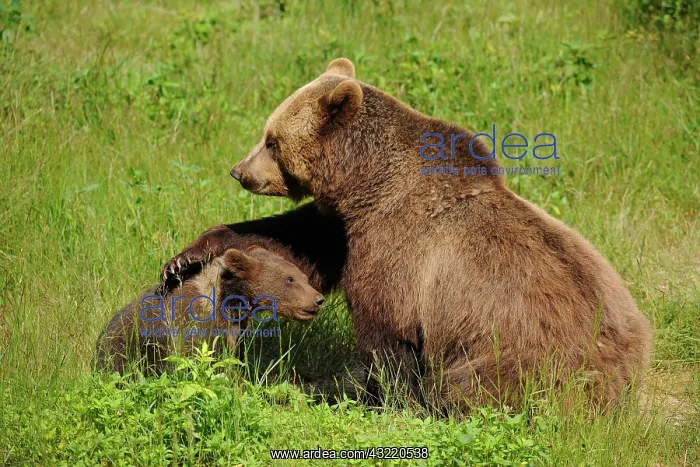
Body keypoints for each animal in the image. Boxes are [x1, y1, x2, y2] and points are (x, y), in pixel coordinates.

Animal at [96, 246, 325, 375]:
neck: (229, 300)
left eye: (303, 277)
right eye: (290, 279)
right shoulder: (192, 326)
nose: (318, 299)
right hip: (125, 349)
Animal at [164, 58, 652, 409]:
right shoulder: (343, 226)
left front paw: (381, 398)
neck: (367, 185)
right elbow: (293, 244)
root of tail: (626, 370)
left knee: (474, 384)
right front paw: (186, 258)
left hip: (521, 356)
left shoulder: (397, 246)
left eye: (272, 141)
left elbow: (385, 328)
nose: (239, 171)